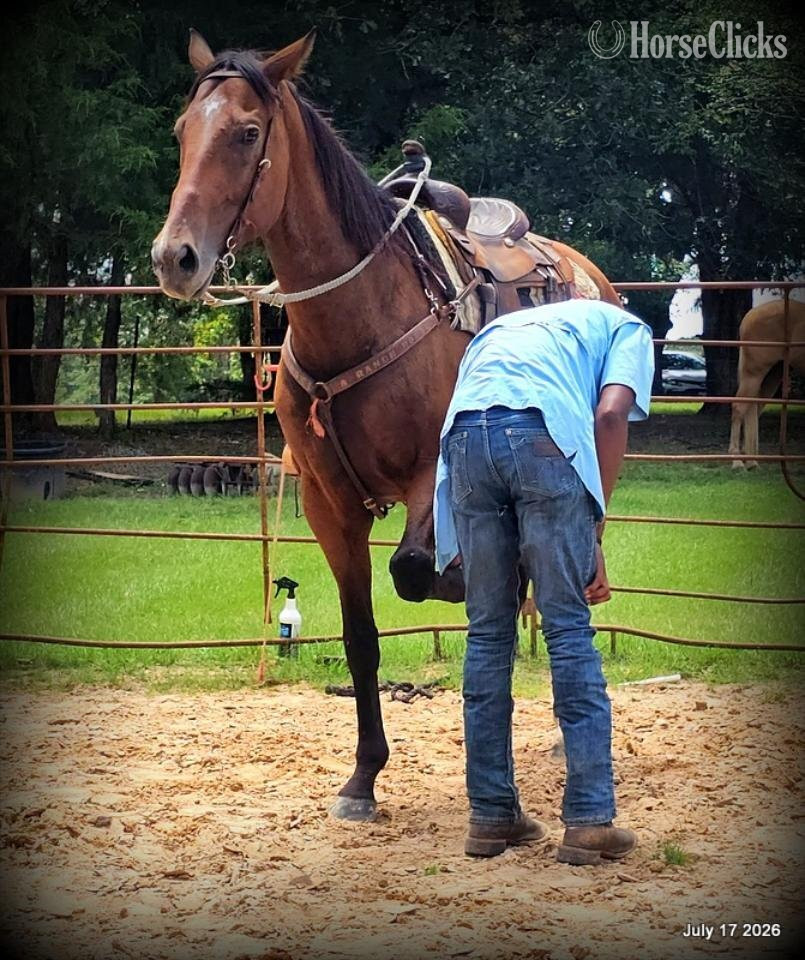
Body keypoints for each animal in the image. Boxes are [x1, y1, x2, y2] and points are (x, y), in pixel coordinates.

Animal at [152, 30, 621, 822]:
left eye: (247, 133)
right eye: (184, 132)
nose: (174, 257)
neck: (360, 317)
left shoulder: (429, 481)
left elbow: (414, 572)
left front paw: (451, 583)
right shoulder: (327, 504)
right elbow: (361, 635)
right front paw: (362, 778)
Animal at [728, 299, 805, 468]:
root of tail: (750, 315)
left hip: (773, 374)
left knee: (753, 409)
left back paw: (750, 461)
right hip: (754, 373)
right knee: (739, 407)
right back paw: (737, 461)